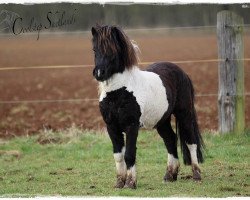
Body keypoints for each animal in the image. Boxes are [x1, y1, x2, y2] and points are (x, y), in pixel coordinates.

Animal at [91, 25, 204, 189]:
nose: (99, 73)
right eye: (94, 49)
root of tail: (181, 72)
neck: (119, 92)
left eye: (112, 50)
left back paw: (196, 175)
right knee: (171, 140)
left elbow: (129, 154)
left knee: (191, 141)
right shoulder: (111, 127)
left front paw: (130, 183)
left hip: (184, 114)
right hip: (162, 121)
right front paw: (119, 183)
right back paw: (169, 176)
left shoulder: (132, 126)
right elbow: (118, 156)